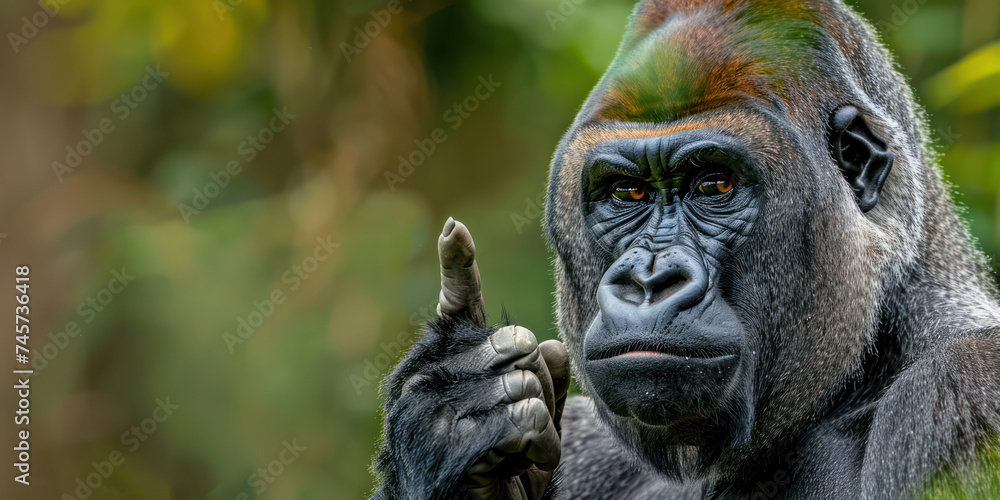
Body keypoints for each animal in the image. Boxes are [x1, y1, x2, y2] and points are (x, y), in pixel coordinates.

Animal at [371, 1, 1000, 498]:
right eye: (627, 193)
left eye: (714, 185)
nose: (649, 281)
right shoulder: (585, 441)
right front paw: (451, 422)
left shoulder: (966, 386)